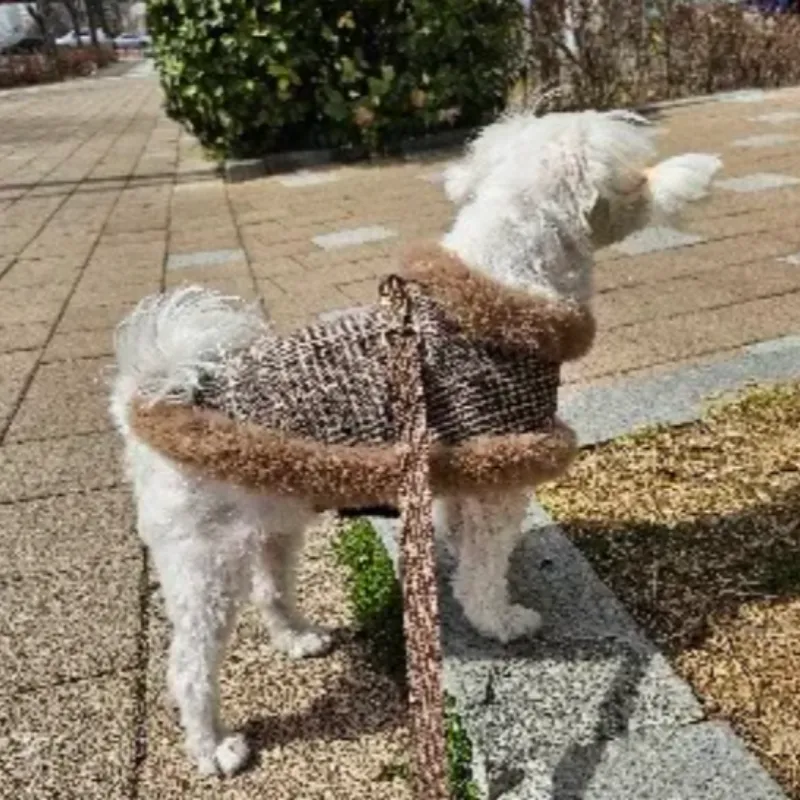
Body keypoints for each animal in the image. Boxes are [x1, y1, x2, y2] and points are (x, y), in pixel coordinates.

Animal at [111, 108, 720, 776]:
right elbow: (484, 570)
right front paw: (501, 620)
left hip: (275, 518)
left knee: (272, 591)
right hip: (205, 556)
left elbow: (460, 542)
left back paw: (301, 638)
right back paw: (214, 748)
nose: (688, 176)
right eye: (638, 175)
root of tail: (157, 392)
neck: (504, 288)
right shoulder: (501, 475)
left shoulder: (461, 469)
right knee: (189, 667)